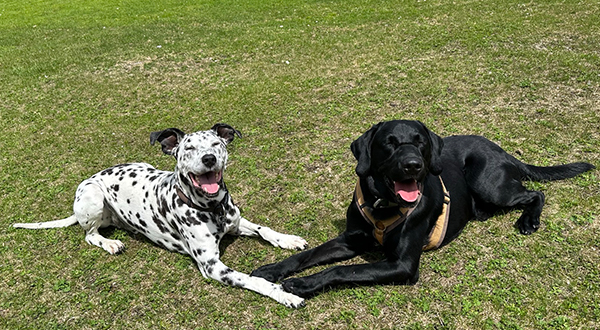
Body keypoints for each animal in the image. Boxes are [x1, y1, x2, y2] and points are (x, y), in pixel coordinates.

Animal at [14, 124, 310, 310]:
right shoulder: (212, 266)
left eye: (216, 143)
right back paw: (109, 243)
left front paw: (289, 240)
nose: (209, 158)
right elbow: (253, 279)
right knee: (89, 235)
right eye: (188, 148)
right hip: (92, 196)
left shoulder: (236, 223)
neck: (211, 207)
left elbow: (264, 229)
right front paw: (282, 294)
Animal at [250, 120, 596, 298]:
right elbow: (307, 255)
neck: (383, 202)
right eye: (389, 142)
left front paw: (303, 284)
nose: (414, 165)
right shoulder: (351, 239)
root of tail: (503, 150)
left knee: (536, 193)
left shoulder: (402, 265)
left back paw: (528, 221)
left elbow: (343, 270)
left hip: (489, 183)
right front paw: (273, 269)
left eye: (421, 142)